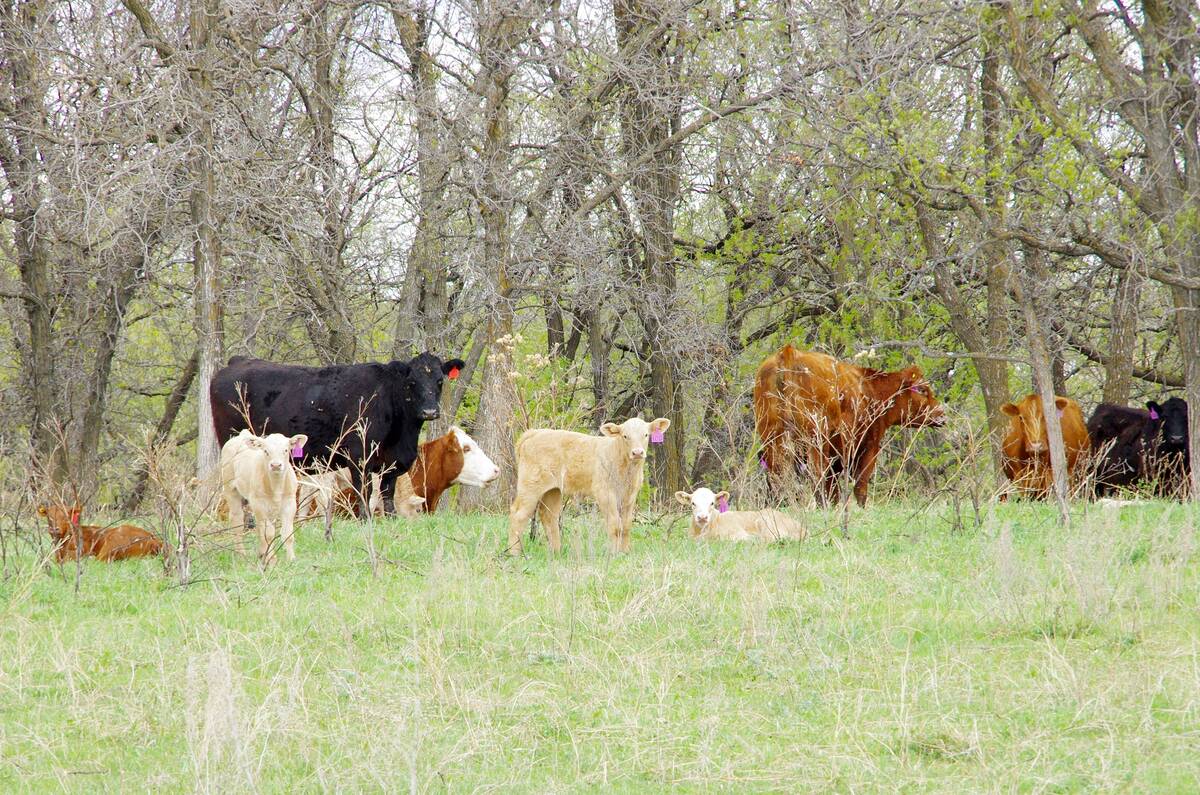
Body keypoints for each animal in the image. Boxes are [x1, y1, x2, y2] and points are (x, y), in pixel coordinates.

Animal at [209, 351, 465, 514]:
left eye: (440, 381)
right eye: (411, 382)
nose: (430, 411)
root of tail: (237, 361)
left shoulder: (392, 464)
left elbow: (388, 497)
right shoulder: (359, 458)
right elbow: (364, 494)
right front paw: (366, 522)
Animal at [219, 429, 307, 566]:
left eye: (286, 450)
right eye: (266, 451)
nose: (276, 465)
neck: (276, 486)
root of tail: (242, 435)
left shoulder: (290, 502)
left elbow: (287, 533)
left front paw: (291, 559)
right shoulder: (259, 504)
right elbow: (269, 533)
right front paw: (272, 561)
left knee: (260, 526)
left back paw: (261, 554)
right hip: (230, 489)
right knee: (237, 520)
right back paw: (242, 555)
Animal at [507, 416, 670, 555]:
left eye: (646, 435)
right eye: (625, 436)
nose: (637, 452)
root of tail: (534, 432)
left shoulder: (630, 495)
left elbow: (626, 525)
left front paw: (625, 552)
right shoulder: (604, 492)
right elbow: (615, 524)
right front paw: (614, 553)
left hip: (553, 489)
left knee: (548, 516)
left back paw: (556, 551)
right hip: (529, 484)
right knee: (518, 514)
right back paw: (514, 553)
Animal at [753, 345, 946, 507]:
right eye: (922, 390)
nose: (942, 414)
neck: (870, 389)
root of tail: (789, 353)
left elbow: (835, 492)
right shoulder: (867, 448)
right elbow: (859, 487)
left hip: (773, 440)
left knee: (778, 477)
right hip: (815, 441)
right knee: (816, 475)